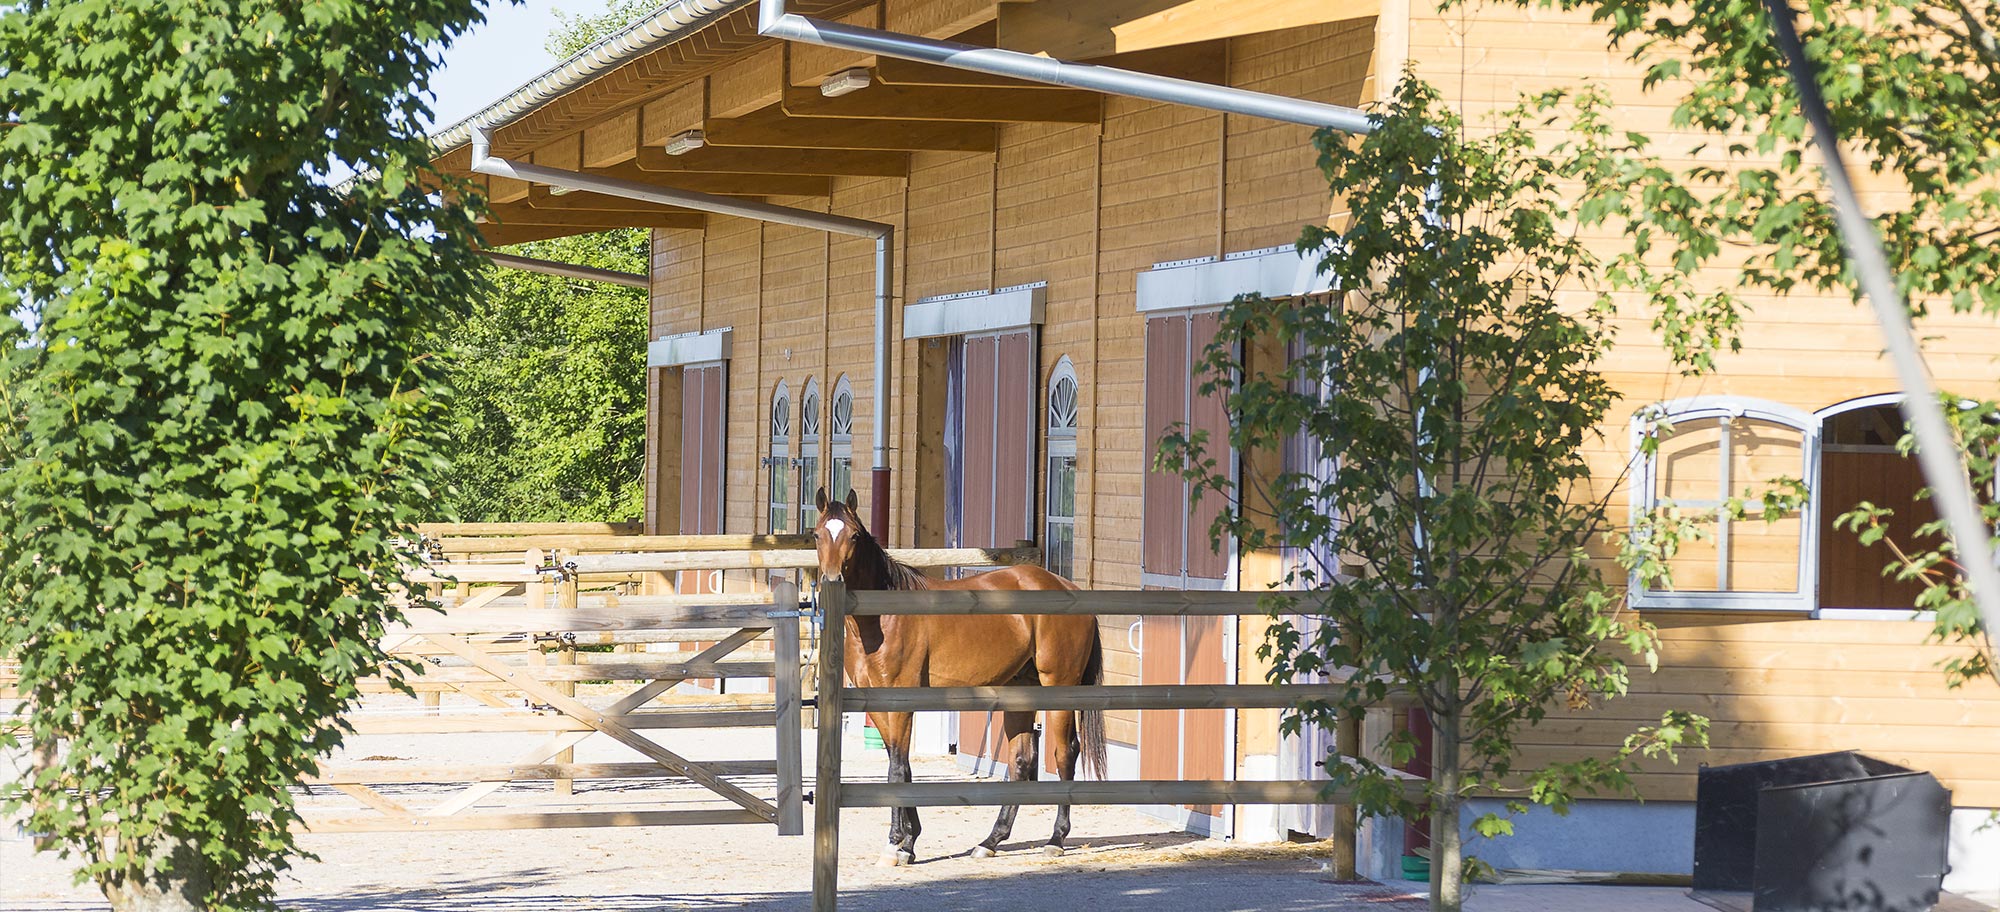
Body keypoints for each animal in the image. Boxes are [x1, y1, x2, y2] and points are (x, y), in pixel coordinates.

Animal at [808, 488, 1112, 864]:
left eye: (853, 536)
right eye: (816, 535)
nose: (831, 581)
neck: (883, 619)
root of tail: (1066, 586)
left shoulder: (901, 702)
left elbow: (897, 768)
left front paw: (895, 843)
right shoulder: (877, 705)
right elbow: (901, 765)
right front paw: (909, 841)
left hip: (1059, 687)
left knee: (1065, 753)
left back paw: (1056, 839)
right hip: (1021, 690)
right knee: (1022, 761)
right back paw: (990, 841)